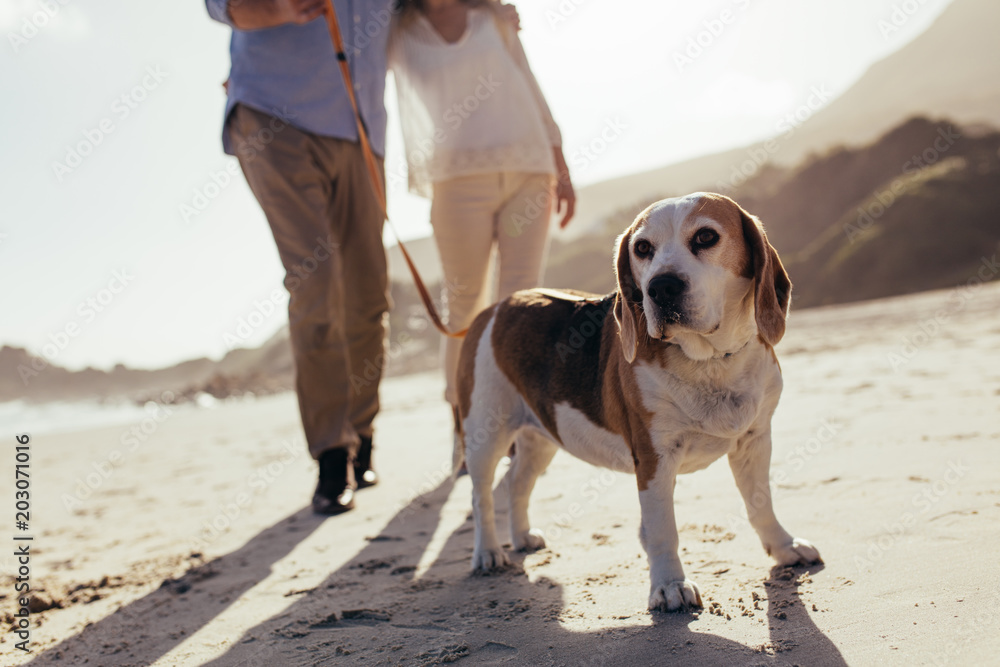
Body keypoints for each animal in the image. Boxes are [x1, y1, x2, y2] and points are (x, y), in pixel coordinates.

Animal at [454, 192, 820, 612]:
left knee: (516, 481)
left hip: (544, 434)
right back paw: (488, 552)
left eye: (706, 236)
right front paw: (670, 585)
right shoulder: (653, 458)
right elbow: (662, 529)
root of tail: (496, 307)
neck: (709, 360)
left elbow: (761, 503)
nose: (660, 288)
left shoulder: (755, 441)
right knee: (480, 495)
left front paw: (784, 546)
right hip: (485, 433)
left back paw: (522, 536)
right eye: (642, 248)